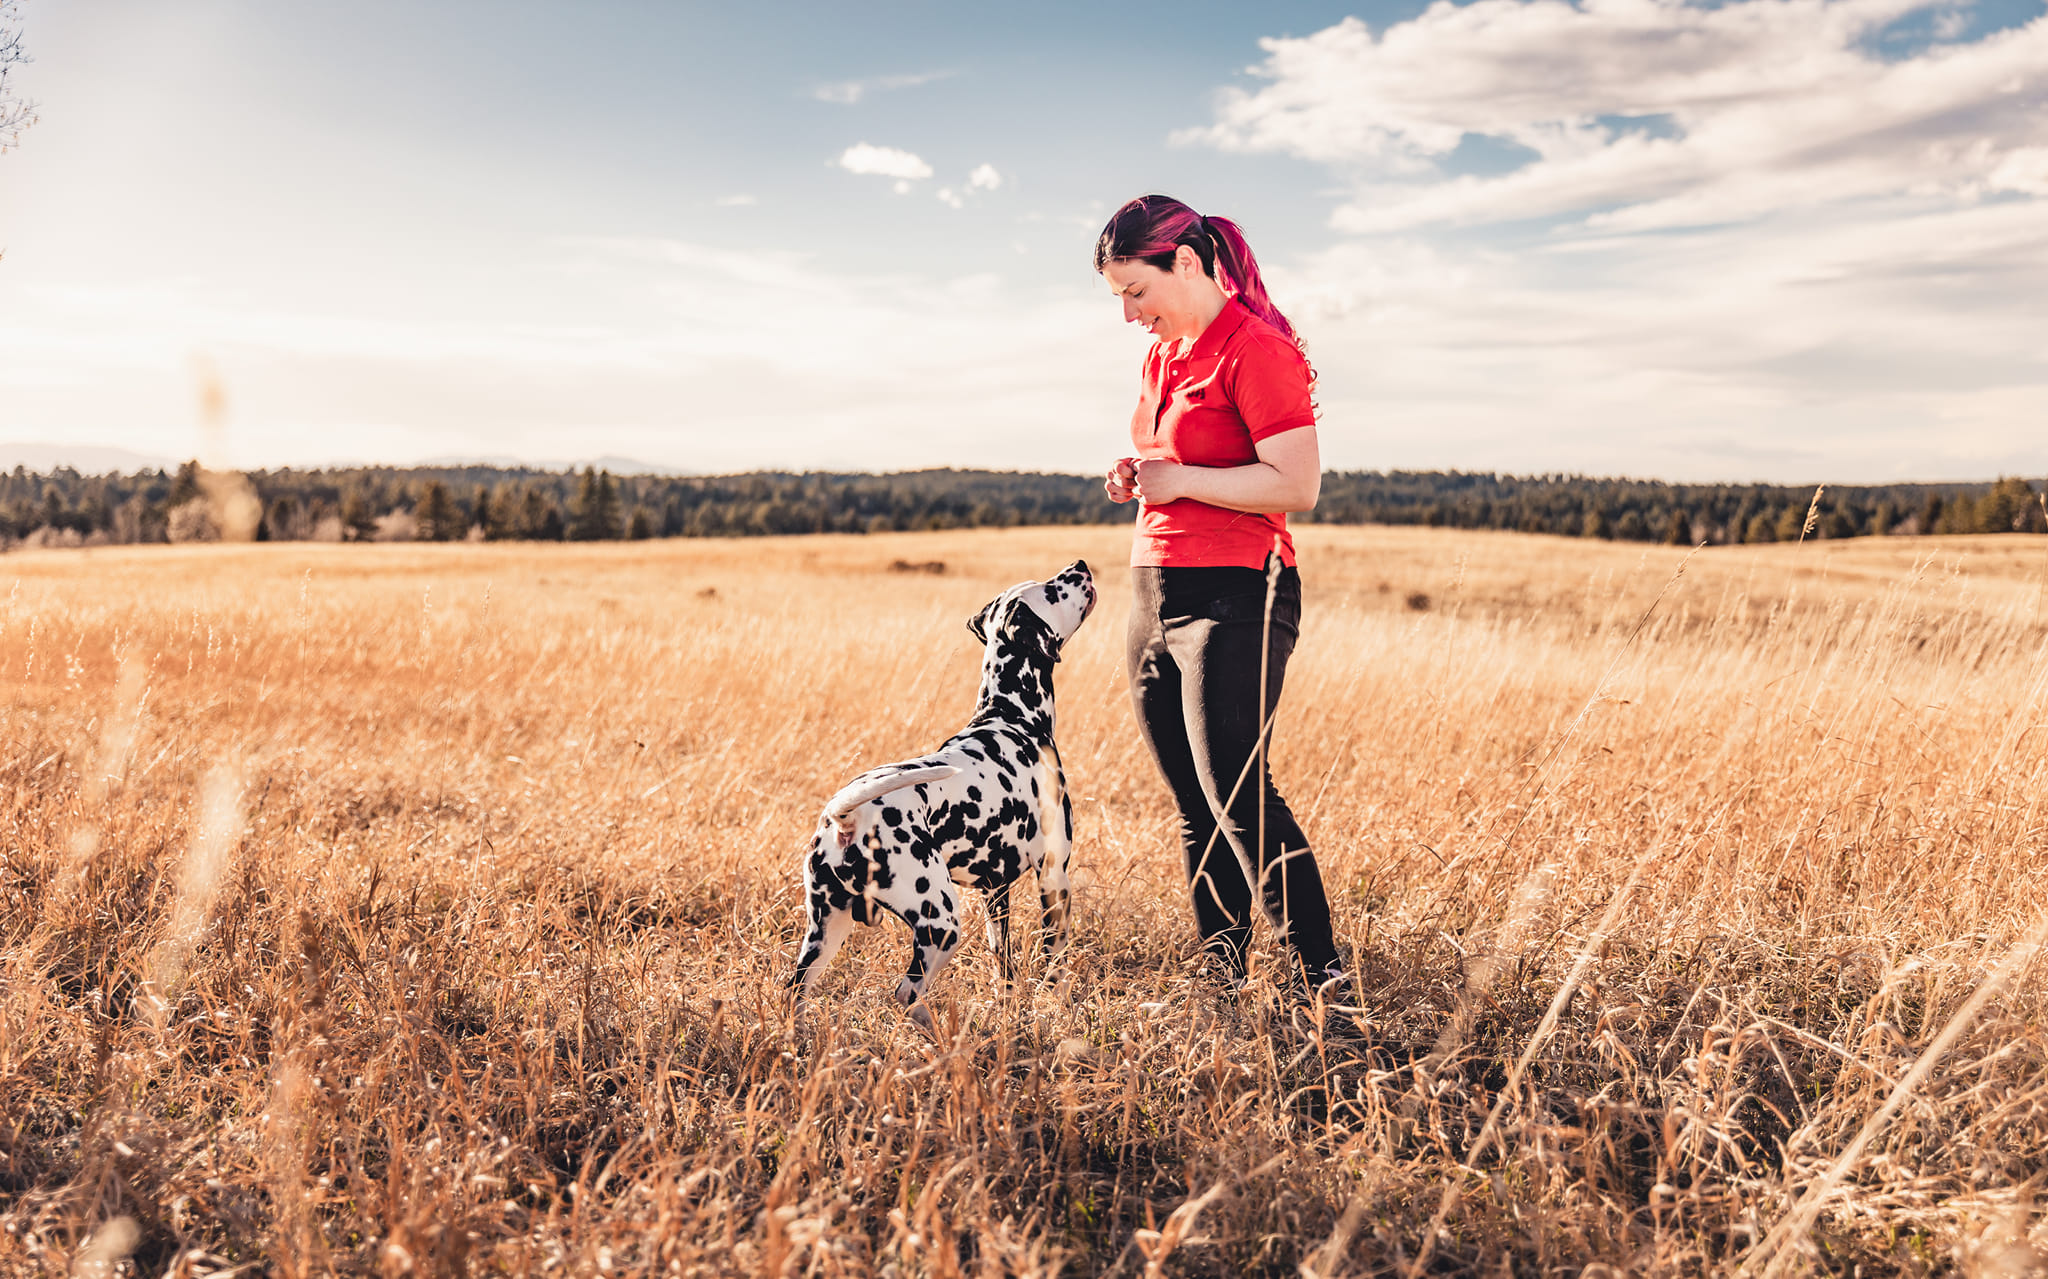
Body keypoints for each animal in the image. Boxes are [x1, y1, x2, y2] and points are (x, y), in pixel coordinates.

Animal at [786, 556, 1105, 1027]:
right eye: (1051, 590)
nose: (1079, 565)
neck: (1011, 714)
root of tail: (845, 818)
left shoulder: (995, 891)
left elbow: (1004, 967)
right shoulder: (1053, 877)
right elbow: (1057, 966)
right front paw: (1063, 1012)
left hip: (827, 929)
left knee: (795, 990)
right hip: (940, 923)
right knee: (907, 993)